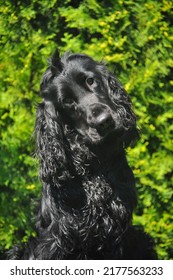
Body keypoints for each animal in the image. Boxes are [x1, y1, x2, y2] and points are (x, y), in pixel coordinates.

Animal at [9, 50, 155, 260]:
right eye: (67, 101)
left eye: (91, 80)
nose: (104, 121)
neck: (94, 168)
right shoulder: (60, 237)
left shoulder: (118, 230)